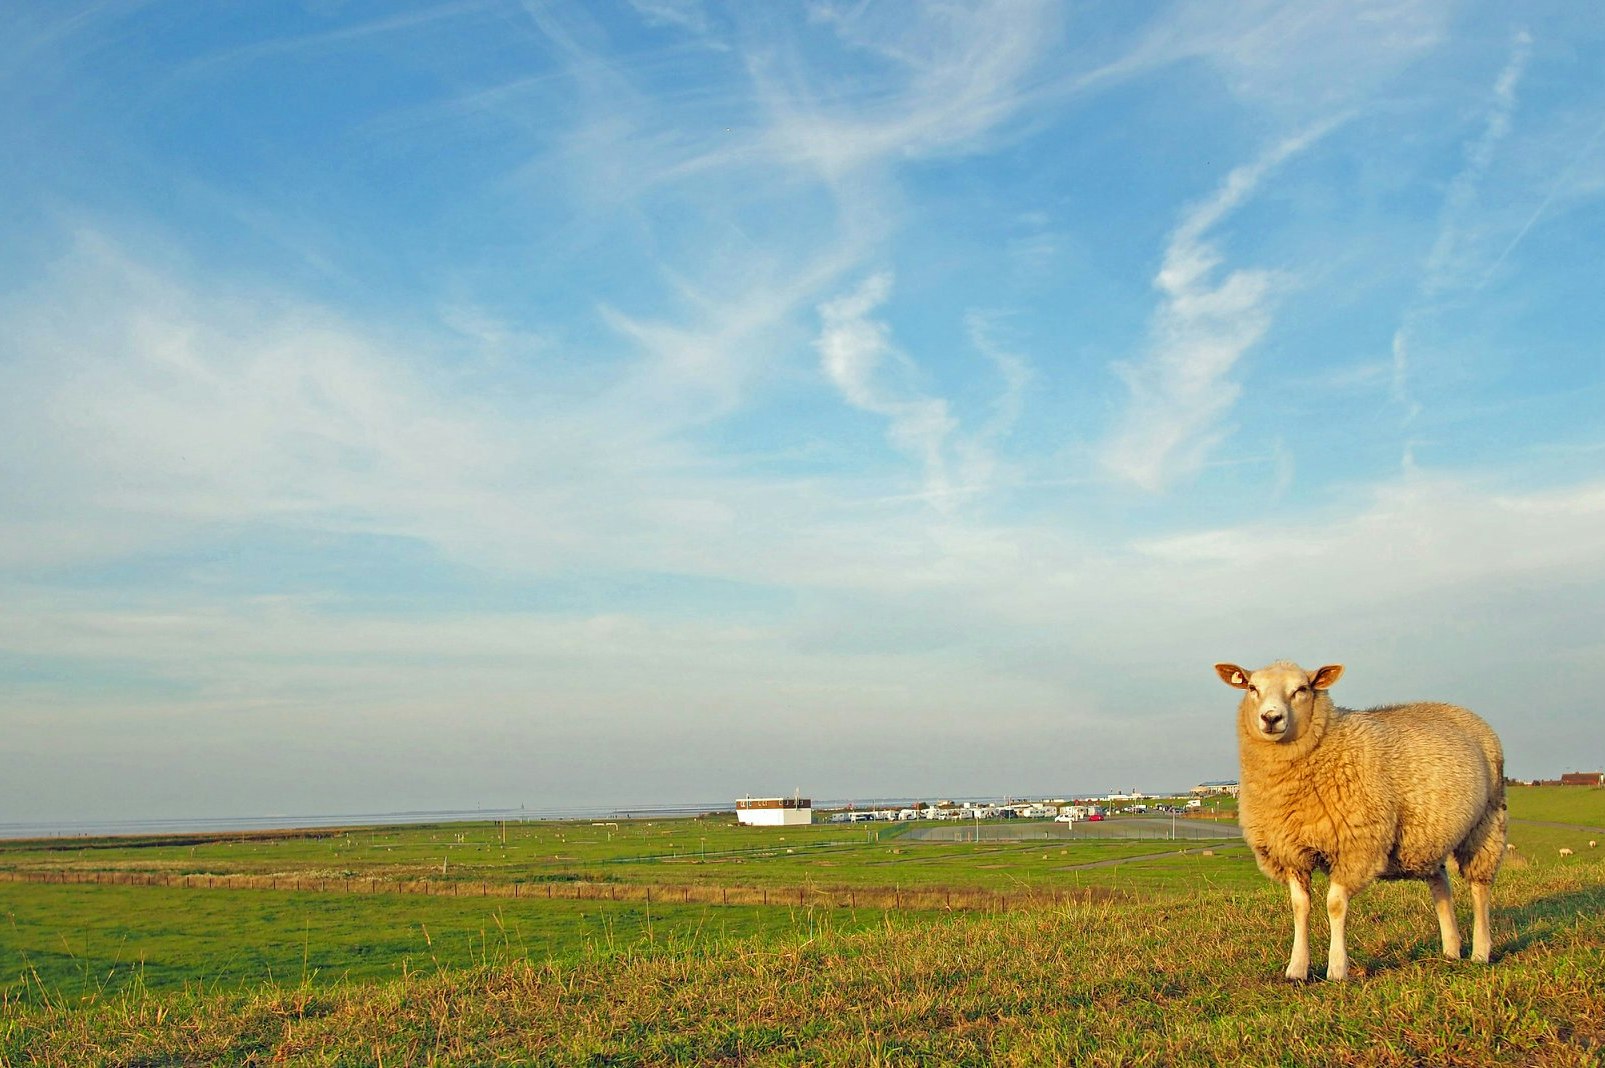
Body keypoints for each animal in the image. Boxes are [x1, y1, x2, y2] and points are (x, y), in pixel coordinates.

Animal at [1215, 660, 1506, 982]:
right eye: (1252, 688)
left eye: (1302, 689)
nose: (1271, 718)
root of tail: (1460, 710)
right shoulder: (1290, 852)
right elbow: (1299, 906)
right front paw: (1297, 969)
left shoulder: (1354, 845)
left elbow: (1335, 905)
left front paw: (1337, 969)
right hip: (1427, 838)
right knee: (1441, 885)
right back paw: (1451, 949)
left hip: (1486, 823)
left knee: (1479, 889)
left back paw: (1480, 952)